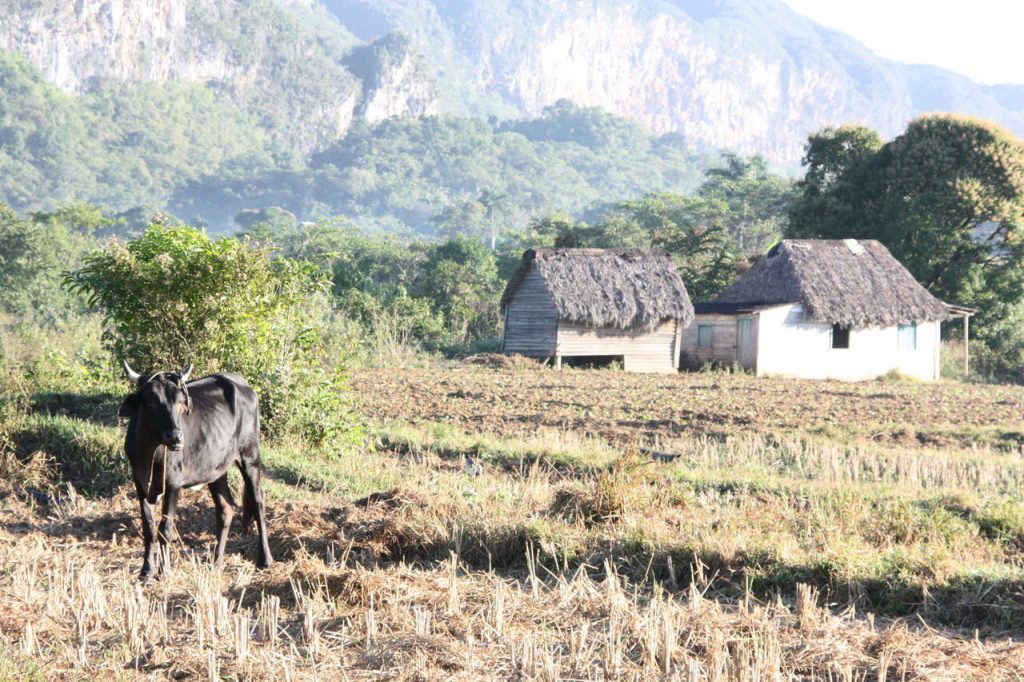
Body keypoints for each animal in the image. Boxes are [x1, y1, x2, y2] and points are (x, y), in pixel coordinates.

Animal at [120, 358, 274, 577]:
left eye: (180, 402)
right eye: (150, 402)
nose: (175, 437)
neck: (151, 450)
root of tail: (243, 385)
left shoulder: (173, 483)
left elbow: (165, 528)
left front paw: (164, 572)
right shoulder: (140, 483)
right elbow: (148, 527)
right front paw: (146, 571)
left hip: (250, 457)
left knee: (258, 500)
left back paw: (264, 559)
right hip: (216, 469)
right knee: (226, 508)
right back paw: (216, 563)